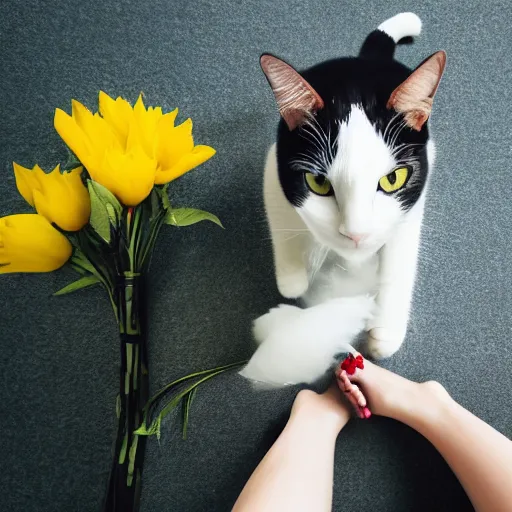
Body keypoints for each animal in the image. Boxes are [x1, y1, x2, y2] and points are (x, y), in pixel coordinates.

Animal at [240, 12, 444, 386]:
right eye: (318, 183)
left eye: (393, 179)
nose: (356, 234)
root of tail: (364, 62)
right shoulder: (274, 167)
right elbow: (282, 219)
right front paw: (292, 276)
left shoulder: (411, 204)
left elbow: (399, 259)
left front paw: (385, 330)